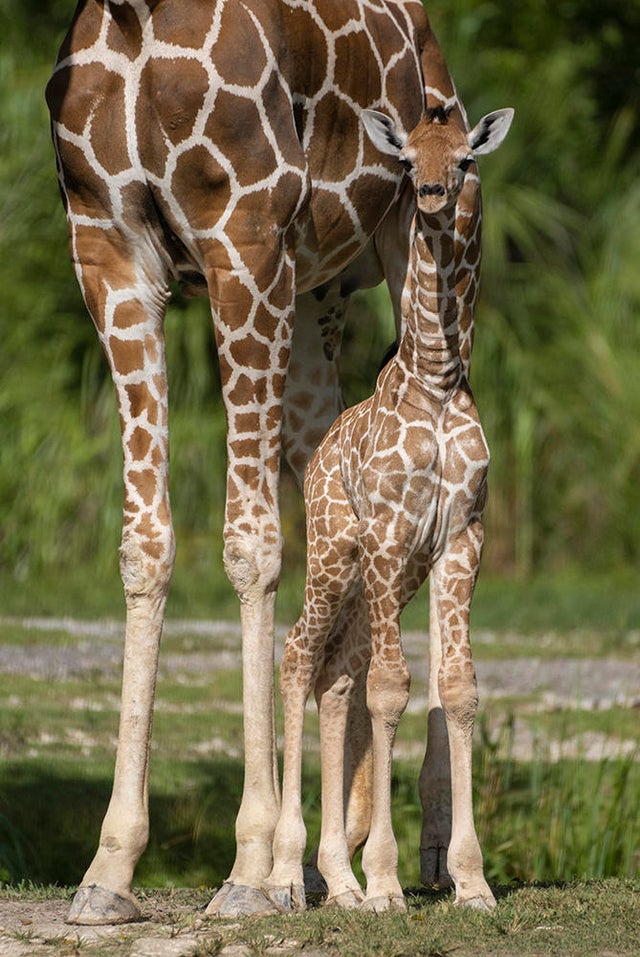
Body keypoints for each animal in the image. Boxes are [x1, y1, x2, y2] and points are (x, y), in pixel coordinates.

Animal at [46, 0, 487, 923]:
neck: (137, 18)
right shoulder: (107, 247)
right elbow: (145, 544)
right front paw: (110, 868)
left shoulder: (243, 234)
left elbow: (249, 546)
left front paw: (249, 867)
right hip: (319, 298)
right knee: (338, 503)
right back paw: (336, 857)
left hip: (433, 251)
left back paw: (431, 852)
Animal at [265, 104, 513, 914]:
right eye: (406, 161)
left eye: (465, 159)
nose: (433, 195)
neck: (434, 381)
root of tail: (315, 462)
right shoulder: (388, 533)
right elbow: (391, 689)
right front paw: (385, 882)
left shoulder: (460, 536)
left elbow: (456, 688)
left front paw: (470, 881)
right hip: (335, 553)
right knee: (297, 654)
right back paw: (287, 872)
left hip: (384, 580)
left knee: (335, 674)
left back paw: (335, 880)